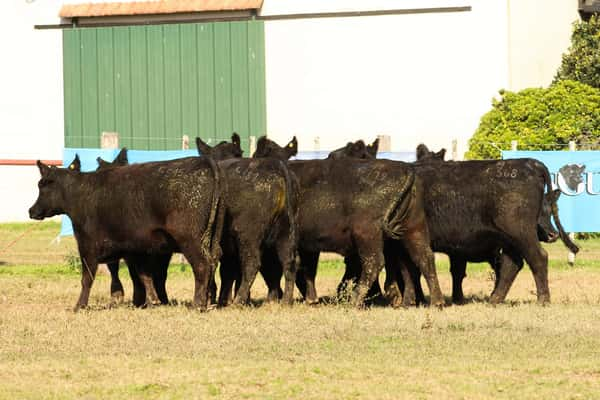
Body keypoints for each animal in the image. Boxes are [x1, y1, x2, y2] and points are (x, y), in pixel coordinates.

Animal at [29, 155, 224, 310]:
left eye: (42, 185)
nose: (31, 211)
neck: (81, 194)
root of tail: (204, 162)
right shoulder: (135, 249)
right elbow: (143, 275)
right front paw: (150, 301)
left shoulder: (87, 246)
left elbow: (87, 278)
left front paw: (79, 306)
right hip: (212, 239)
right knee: (212, 262)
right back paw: (208, 301)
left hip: (190, 240)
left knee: (201, 265)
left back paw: (198, 304)